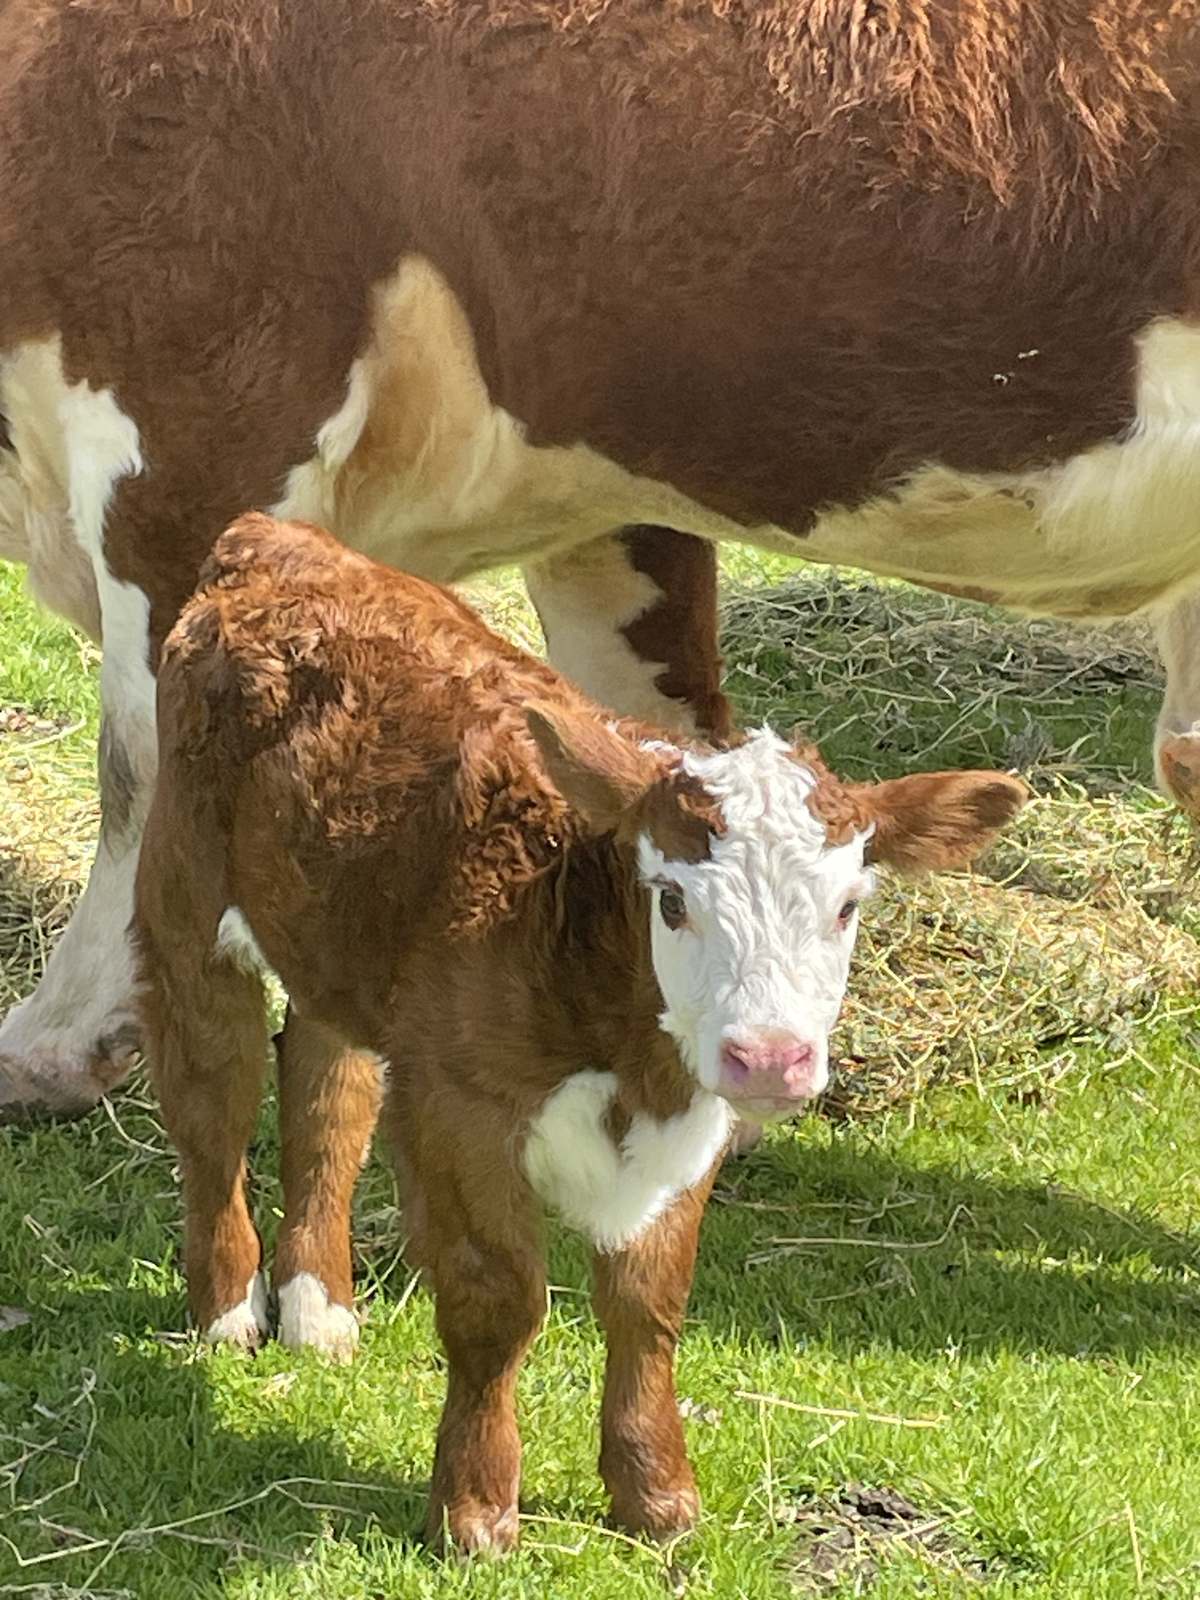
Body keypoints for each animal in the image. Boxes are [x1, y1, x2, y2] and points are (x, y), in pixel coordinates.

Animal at [133, 512, 1026, 1552]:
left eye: (848, 906)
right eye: (673, 899)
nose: (769, 1057)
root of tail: (277, 538)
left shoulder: (692, 1120)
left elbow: (649, 1302)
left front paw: (657, 1494)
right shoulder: (459, 1101)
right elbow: (499, 1300)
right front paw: (475, 1508)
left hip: (338, 937)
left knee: (326, 1090)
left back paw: (318, 1308)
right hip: (184, 895)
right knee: (214, 1097)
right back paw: (230, 1309)